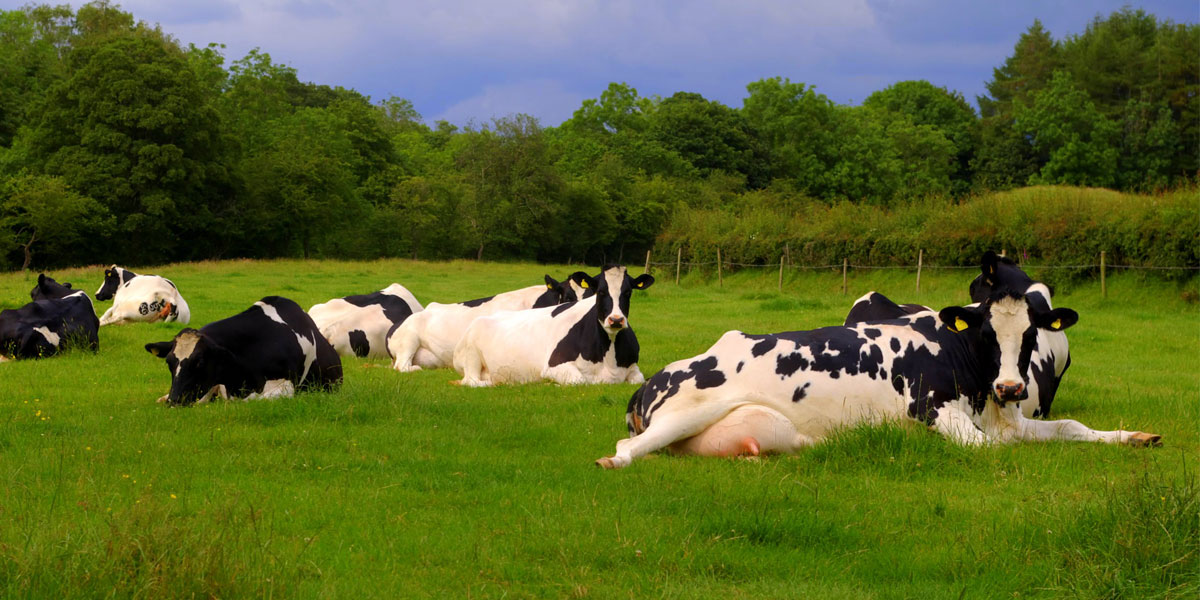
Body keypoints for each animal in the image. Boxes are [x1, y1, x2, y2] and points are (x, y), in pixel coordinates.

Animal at [451, 265, 657, 386]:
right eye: (600, 291)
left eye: (628, 292)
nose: (616, 320)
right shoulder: (554, 366)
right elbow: (578, 380)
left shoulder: (633, 368)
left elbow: (639, 380)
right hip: (470, 356)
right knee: (472, 381)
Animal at [600, 289, 1161, 468]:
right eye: (985, 332)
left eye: (1030, 335)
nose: (1012, 387)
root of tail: (652, 379)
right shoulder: (934, 409)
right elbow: (989, 449)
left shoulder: (1012, 418)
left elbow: (1071, 427)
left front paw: (1135, 436)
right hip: (686, 411)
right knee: (629, 447)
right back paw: (613, 461)